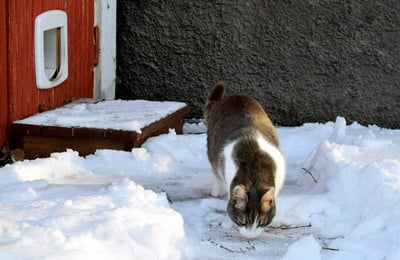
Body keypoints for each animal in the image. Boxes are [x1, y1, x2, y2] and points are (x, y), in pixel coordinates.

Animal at [205, 82, 286, 239]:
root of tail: (232, 96)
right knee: (214, 167)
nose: (250, 236)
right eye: (242, 222)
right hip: (212, 147)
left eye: (261, 223)